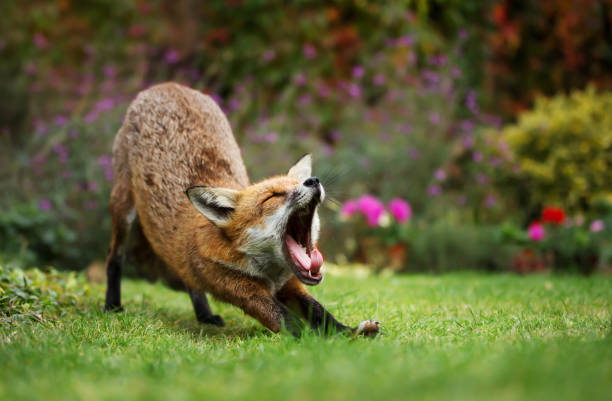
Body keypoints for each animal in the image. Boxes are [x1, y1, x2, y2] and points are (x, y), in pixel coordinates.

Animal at [107, 83, 380, 336]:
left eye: (298, 183)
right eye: (272, 196)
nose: (312, 180)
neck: (269, 272)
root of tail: (166, 86)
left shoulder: (291, 283)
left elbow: (320, 313)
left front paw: (348, 333)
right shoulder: (242, 290)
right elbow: (287, 321)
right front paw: (317, 342)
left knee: (189, 280)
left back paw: (205, 316)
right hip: (122, 211)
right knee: (114, 258)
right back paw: (112, 306)